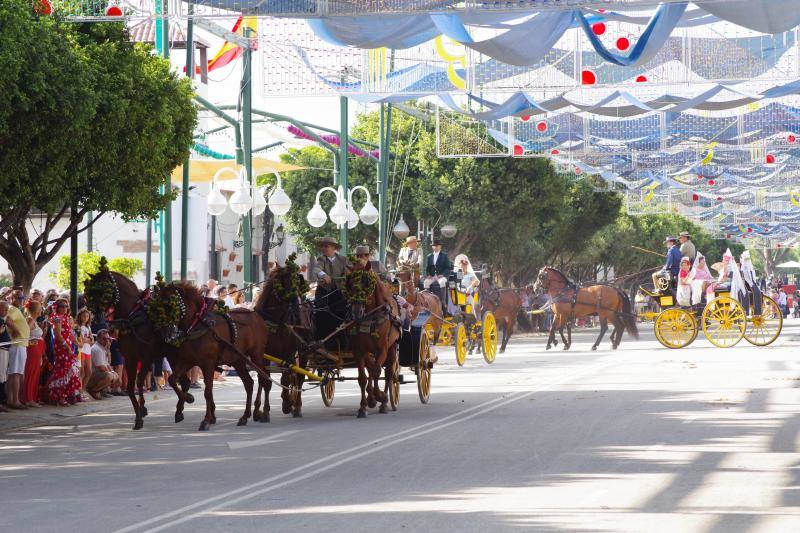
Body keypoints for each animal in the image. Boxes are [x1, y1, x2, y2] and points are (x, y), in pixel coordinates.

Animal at [152, 282, 270, 428]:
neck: (197, 324)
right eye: (156, 302)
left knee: (263, 379)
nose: (162, 331)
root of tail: (257, 316)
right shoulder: (187, 361)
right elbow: (172, 379)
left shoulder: (207, 363)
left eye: (169, 302)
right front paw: (189, 398)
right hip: (238, 360)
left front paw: (206, 420)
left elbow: (208, 392)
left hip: (256, 355)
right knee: (249, 383)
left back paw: (262, 412)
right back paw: (245, 416)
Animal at [346, 260, 404, 416]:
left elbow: (377, 371)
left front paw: (380, 397)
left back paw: (383, 403)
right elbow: (363, 377)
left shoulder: (382, 348)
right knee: (371, 368)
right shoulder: (358, 350)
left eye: (366, 283)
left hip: (392, 348)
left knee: (388, 373)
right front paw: (363, 406)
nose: (356, 312)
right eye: (350, 284)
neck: (369, 317)